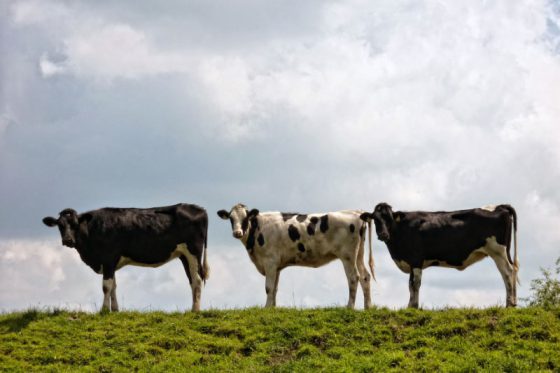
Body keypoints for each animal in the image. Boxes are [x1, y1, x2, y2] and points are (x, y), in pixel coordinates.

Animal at [41, 203, 208, 310]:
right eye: (60, 225)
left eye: (75, 224)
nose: (68, 240)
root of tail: (198, 208)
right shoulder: (110, 262)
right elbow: (114, 286)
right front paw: (115, 310)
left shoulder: (108, 258)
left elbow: (106, 286)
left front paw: (103, 310)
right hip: (184, 255)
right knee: (192, 280)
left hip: (193, 251)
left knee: (198, 280)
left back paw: (195, 310)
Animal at [217, 203, 374, 308]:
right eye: (231, 218)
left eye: (245, 218)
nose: (237, 233)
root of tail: (356, 212)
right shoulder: (277, 266)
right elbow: (275, 288)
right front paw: (272, 309)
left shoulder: (270, 261)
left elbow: (268, 287)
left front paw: (266, 308)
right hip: (358, 255)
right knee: (365, 276)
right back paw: (367, 308)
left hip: (347, 256)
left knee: (354, 278)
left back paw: (349, 307)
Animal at [360, 203, 520, 308]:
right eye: (375, 219)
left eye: (389, 218)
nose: (383, 234)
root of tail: (499, 206)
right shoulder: (412, 262)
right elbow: (411, 285)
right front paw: (411, 306)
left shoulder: (416, 259)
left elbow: (415, 284)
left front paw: (414, 306)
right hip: (504, 252)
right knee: (513, 271)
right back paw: (513, 303)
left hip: (498, 251)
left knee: (507, 272)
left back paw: (509, 304)